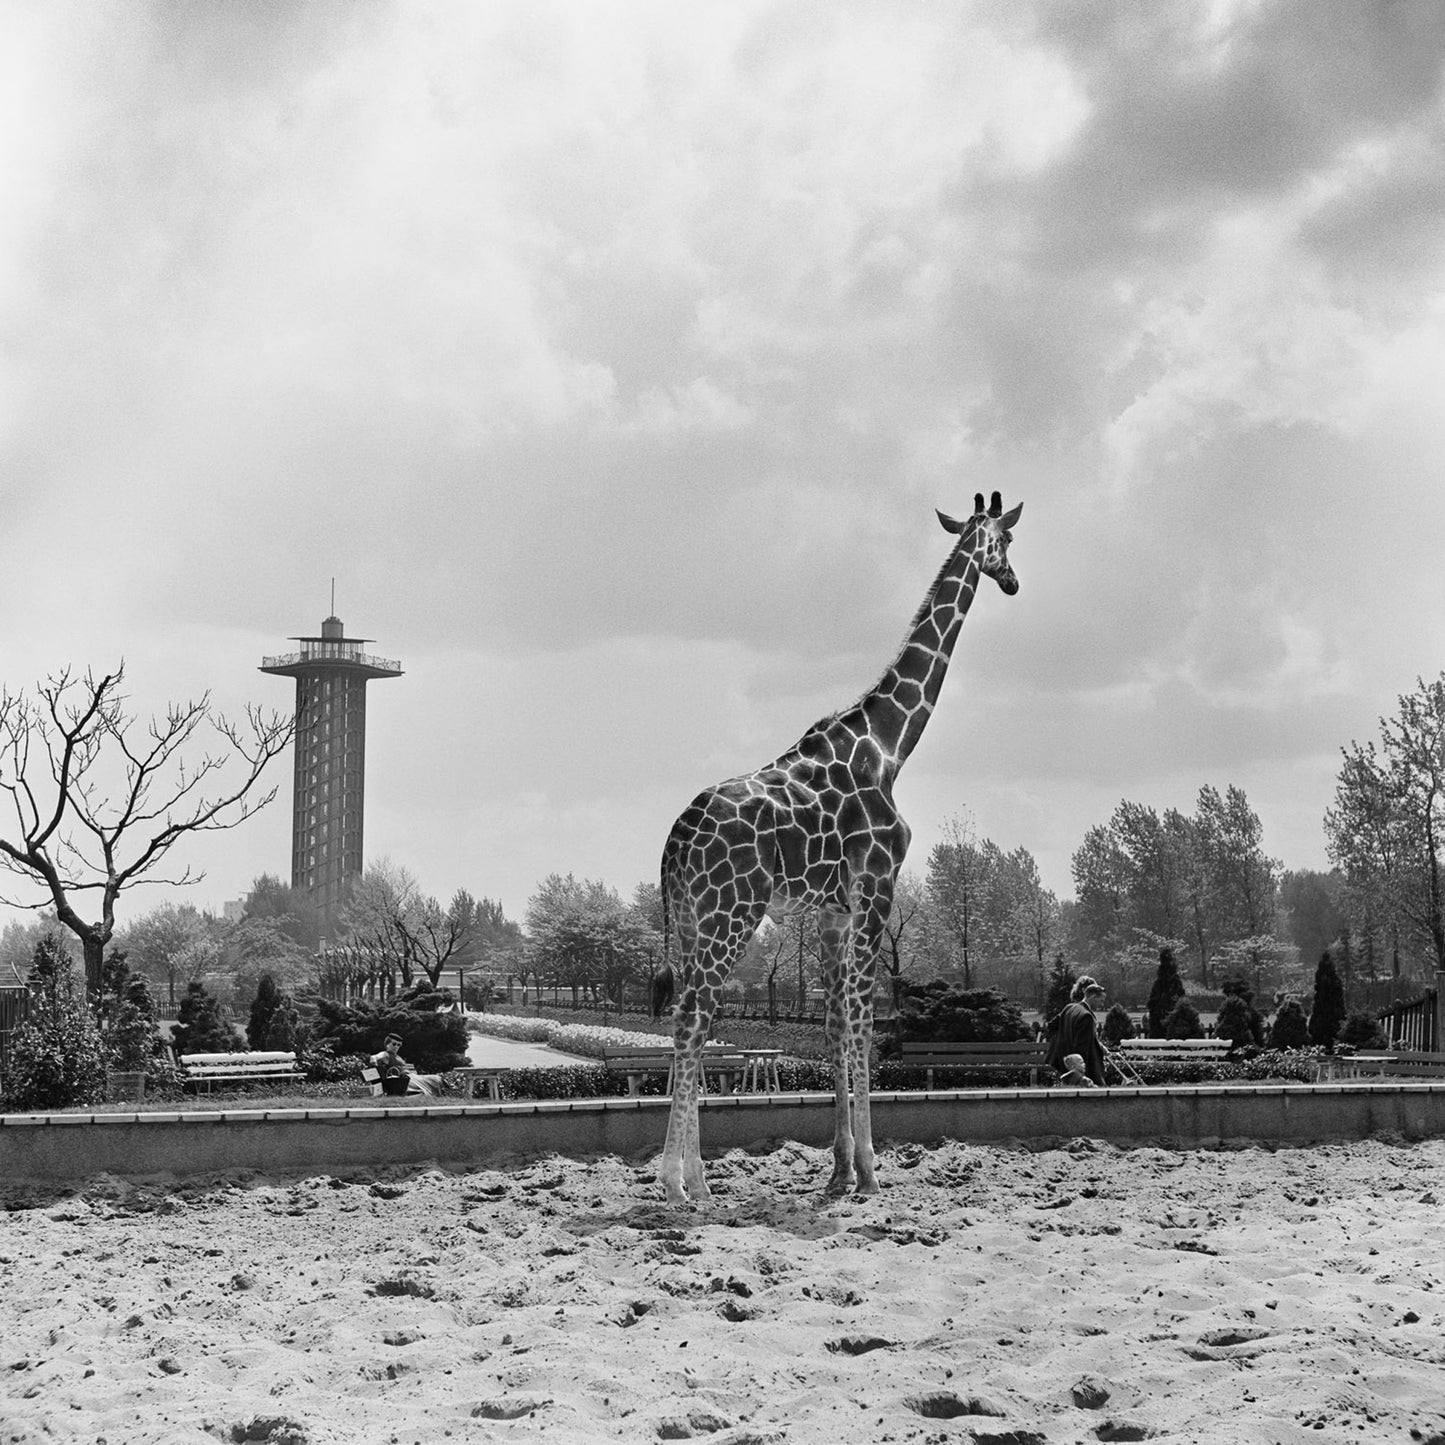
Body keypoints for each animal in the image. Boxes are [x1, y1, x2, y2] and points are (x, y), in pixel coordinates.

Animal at [654, 490, 1023, 1205]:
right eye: (1005, 541)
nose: (1015, 582)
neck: (890, 747)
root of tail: (675, 840)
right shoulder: (877, 884)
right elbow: (862, 1018)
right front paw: (873, 1169)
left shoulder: (831, 908)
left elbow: (832, 1023)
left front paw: (840, 1168)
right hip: (731, 912)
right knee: (693, 1020)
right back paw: (680, 1183)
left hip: (688, 920)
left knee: (689, 1016)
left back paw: (697, 1179)